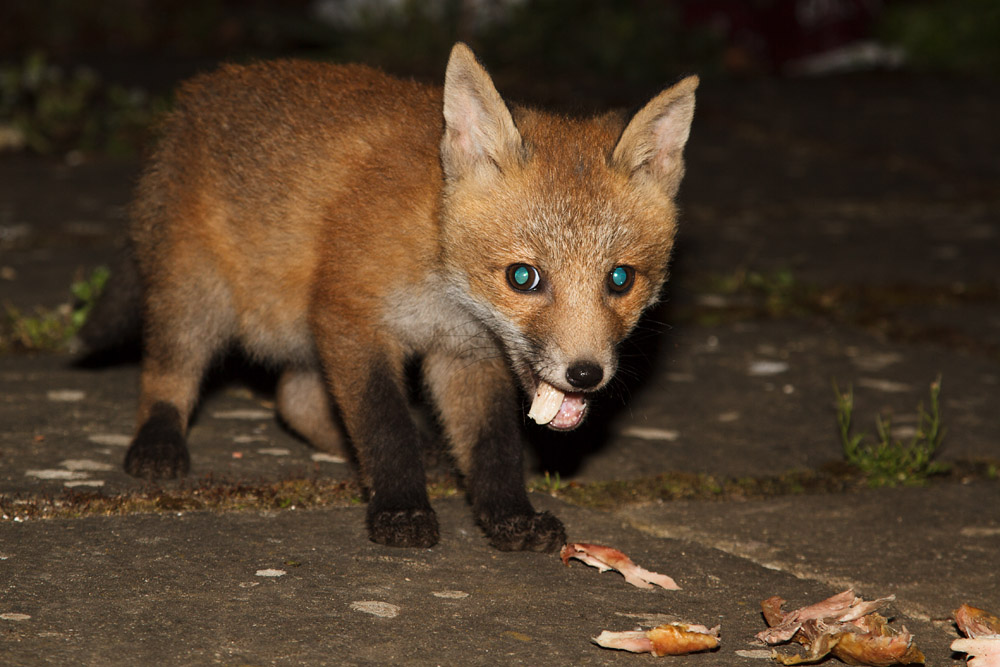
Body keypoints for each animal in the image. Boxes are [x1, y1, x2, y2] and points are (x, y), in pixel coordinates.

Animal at [79, 43, 697, 552]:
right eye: (523, 278)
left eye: (620, 280)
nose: (586, 374)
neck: (438, 270)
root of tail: (193, 97)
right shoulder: (351, 318)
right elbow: (384, 425)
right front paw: (400, 508)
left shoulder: (466, 353)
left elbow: (493, 445)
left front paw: (509, 518)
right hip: (195, 299)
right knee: (170, 375)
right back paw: (158, 443)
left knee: (294, 398)